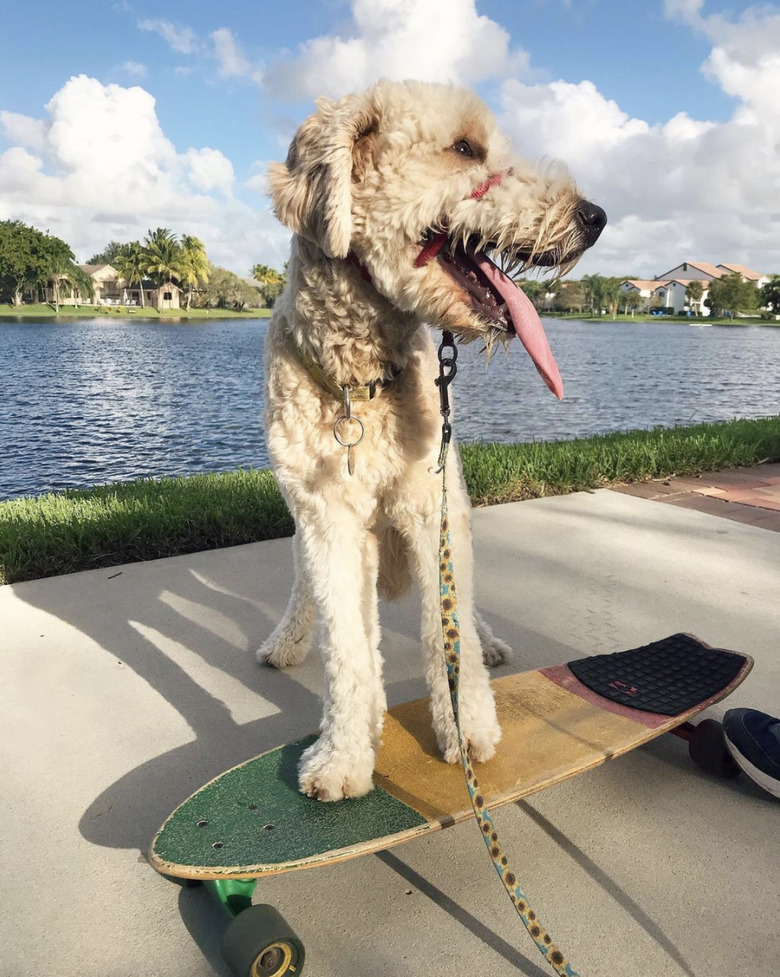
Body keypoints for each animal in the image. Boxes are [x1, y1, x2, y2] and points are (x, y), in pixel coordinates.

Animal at [256, 80, 604, 800]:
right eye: (466, 149)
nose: (595, 216)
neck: (359, 380)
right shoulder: (327, 520)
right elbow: (345, 645)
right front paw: (344, 753)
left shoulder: (430, 504)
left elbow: (448, 633)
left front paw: (467, 731)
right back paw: (285, 641)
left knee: (463, 602)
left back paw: (488, 640)